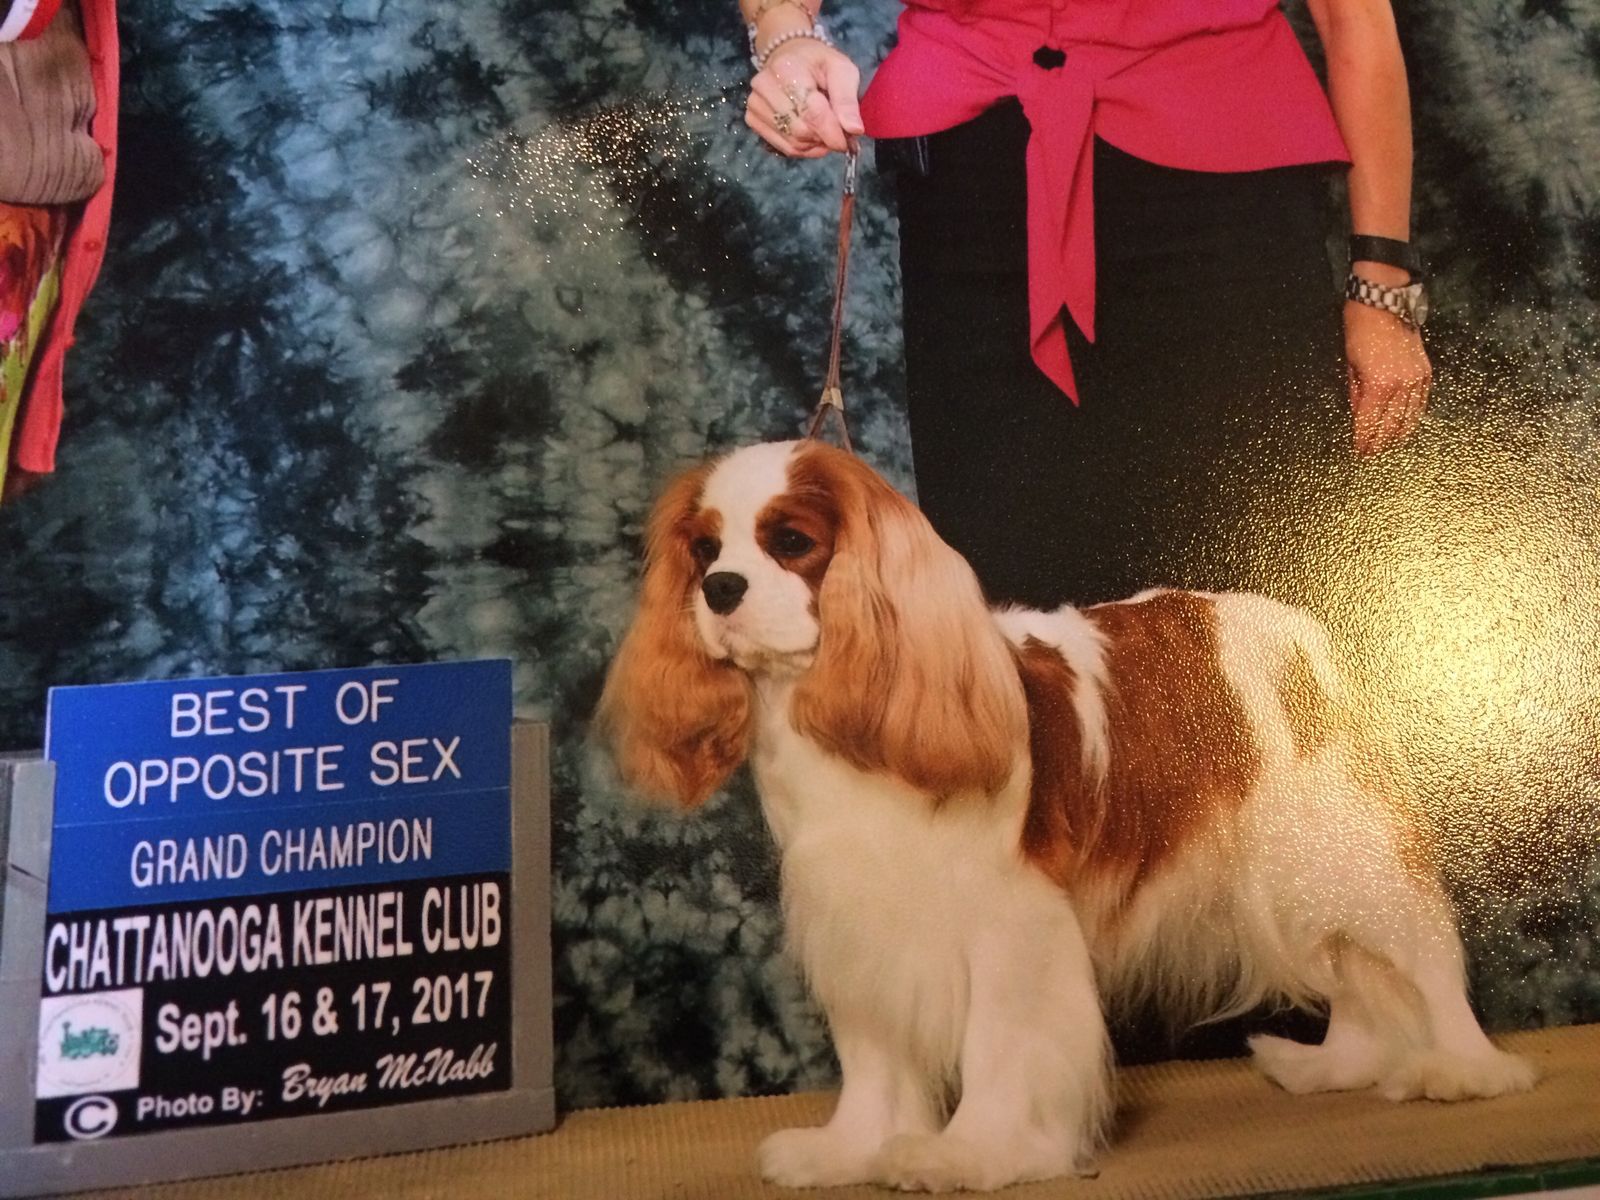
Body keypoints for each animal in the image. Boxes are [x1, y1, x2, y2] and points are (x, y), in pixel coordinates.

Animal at [598, 440, 1535, 1192]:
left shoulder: (1008, 926)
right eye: (704, 549)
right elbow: (872, 1056)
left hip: (1339, 853)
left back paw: (1466, 1069)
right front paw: (852, 1150)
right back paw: (1341, 1066)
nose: (720, 588)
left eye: (791, 542)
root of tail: (1301, 628)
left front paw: (971, 1153)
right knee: (1350, 977)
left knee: (1424, 958)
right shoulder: (858, 924)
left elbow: (994, 1046)